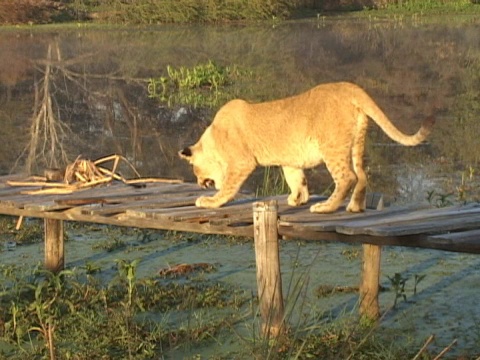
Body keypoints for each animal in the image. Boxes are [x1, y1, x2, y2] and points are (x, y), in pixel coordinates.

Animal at [180, 81, 436, 212]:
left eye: (194, 169)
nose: (199, 184)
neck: (213, 136)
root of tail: (349, 87)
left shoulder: (242, 162)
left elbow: (228, 187)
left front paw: (210, 202)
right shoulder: (289, 161)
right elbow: (296, 179)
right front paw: (298, 199)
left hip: (332, 146)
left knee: (347, 177)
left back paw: (326, 207)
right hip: (356, 144)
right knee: (362, 175)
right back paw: (354, 207)